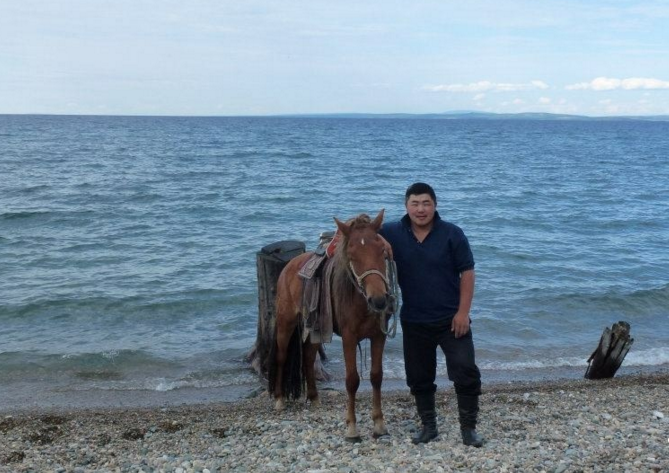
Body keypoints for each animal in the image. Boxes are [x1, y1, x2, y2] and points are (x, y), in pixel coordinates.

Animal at [266, 208, 392, 440]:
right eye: (351, 255)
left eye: (382, 250)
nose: (379, 300)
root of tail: (289, 266)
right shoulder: (349, 338)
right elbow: (352, 380)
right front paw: (352, 428)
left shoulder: (379, 336)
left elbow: (376, 376)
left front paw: (379, 424)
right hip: (286, 321)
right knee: (281, 356)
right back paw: (279, 399)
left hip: (315, 327)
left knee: (308, 356)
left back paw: (314, 398)